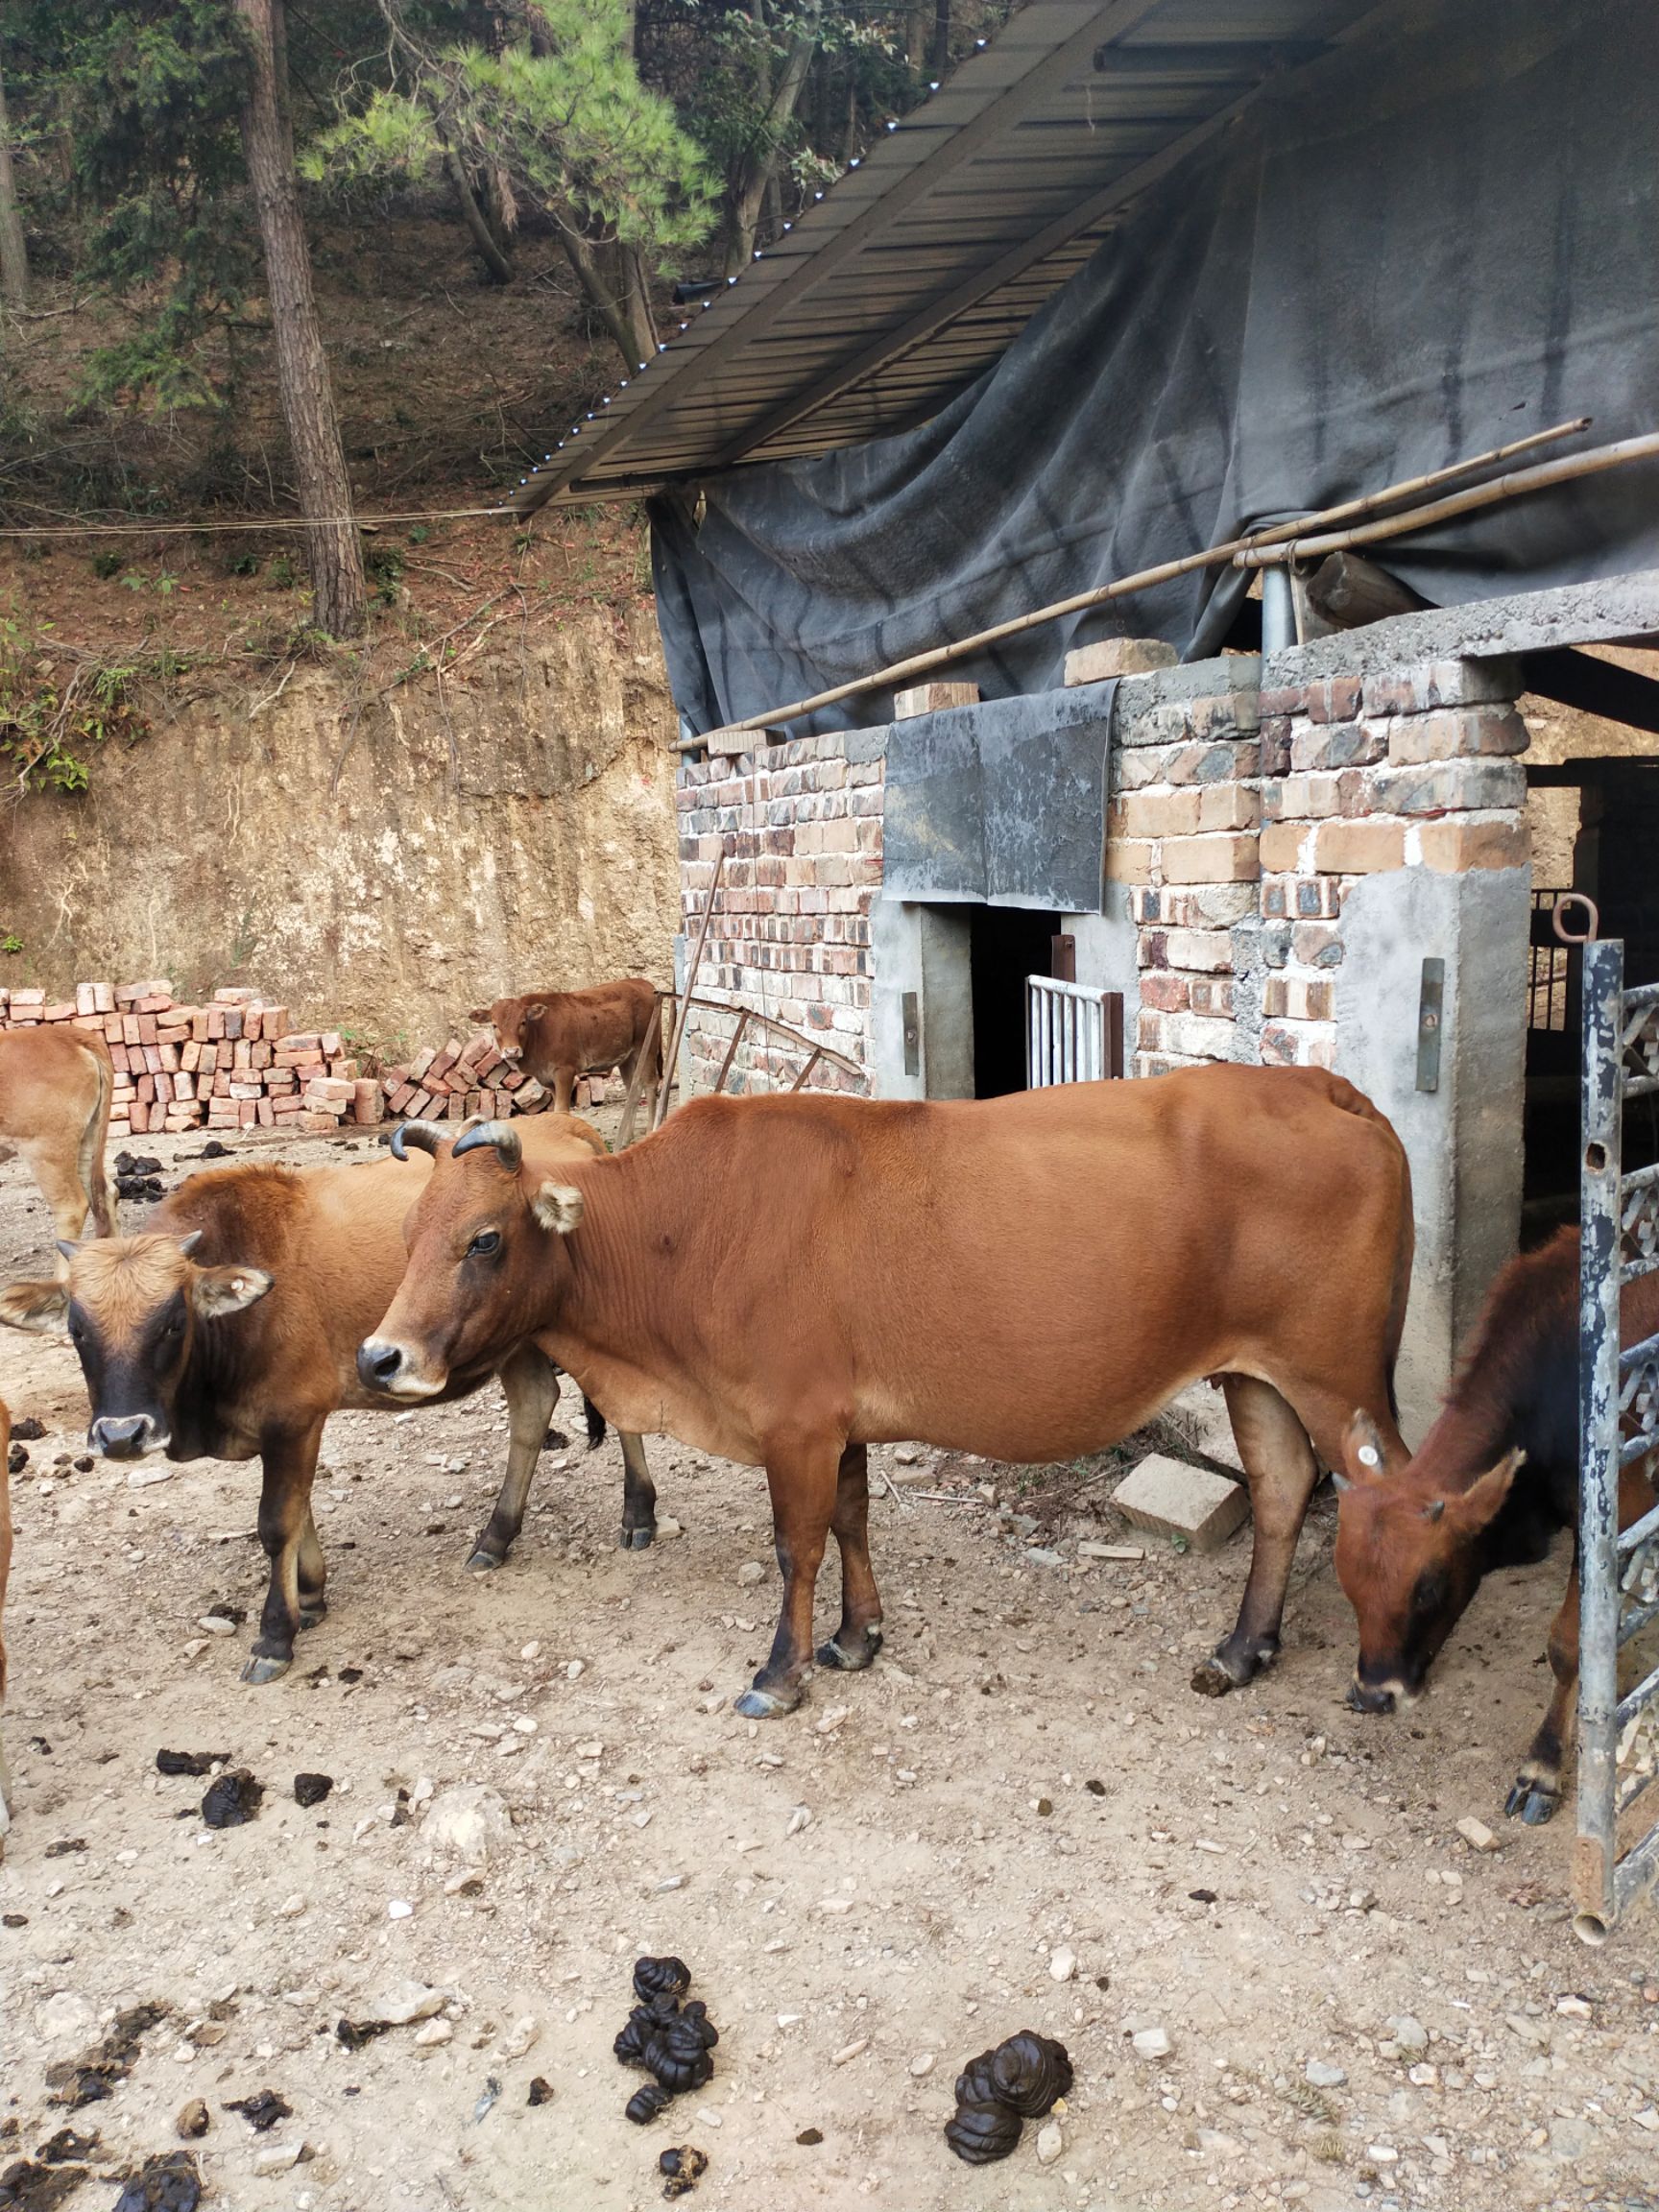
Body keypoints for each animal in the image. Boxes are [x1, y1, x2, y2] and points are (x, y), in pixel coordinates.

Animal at [0, 1115, 663, 1681]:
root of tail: (572, 1126)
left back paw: (638, 1513)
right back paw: (495, 1538)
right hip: (517, 1341)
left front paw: (275, 1635)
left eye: (172, 1322)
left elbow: (275, 1523)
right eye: (77, 1330)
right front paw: (311, 1596)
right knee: (533, 1407)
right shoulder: (287, 1427)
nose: (121, 1434)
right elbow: (299, 1513)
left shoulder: (294, 1418)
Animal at [360, 1061, 1415, 1716]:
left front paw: (780, 1673)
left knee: (1397, 1497)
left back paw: (1385, 1674)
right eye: (408, 1230)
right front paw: (857, 1638)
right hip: (1257, 1377)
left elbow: (796, 1548)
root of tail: (1322, 1085)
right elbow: (851, 1523)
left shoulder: (792, 1424)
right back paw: (1242, 1650)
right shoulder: (840, 1422)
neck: (682, 1228)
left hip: (1337, 1378)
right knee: (1281, 1493)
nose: (381, 1358)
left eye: (484, 1238)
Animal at [469, 981, 663, 1123]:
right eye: (495, 1025)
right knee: (634, 1089)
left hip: (647, 1046)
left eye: (523, 1022)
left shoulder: (565, 1070)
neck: (539, 1031)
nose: (511, 1051)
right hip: (627, 1057)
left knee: (650, 1084)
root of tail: (643, 983)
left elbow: (561, 1109)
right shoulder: (548, 1079)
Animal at [1335, 1220, 1659, 1822]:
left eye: (1429, 1588)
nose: (1374, 1695)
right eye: (1348, 1584)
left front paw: (1543, 1769)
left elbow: (1567, 1645)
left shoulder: (1616, 1509)